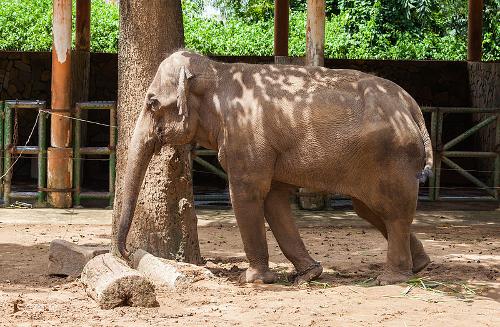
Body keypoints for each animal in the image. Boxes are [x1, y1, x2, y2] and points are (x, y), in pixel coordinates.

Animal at [117, 49, 434, 288]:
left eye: (152, 102)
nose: (127, 254)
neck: (218, 71)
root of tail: (411, 106)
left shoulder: (245, 139)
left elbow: (247, 195)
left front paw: (254, 280)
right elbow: (274, 199)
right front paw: (308, 275)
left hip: (392, 158)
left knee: (391, 211)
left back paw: (392, 278)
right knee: (370, 209)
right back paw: (420, 265)